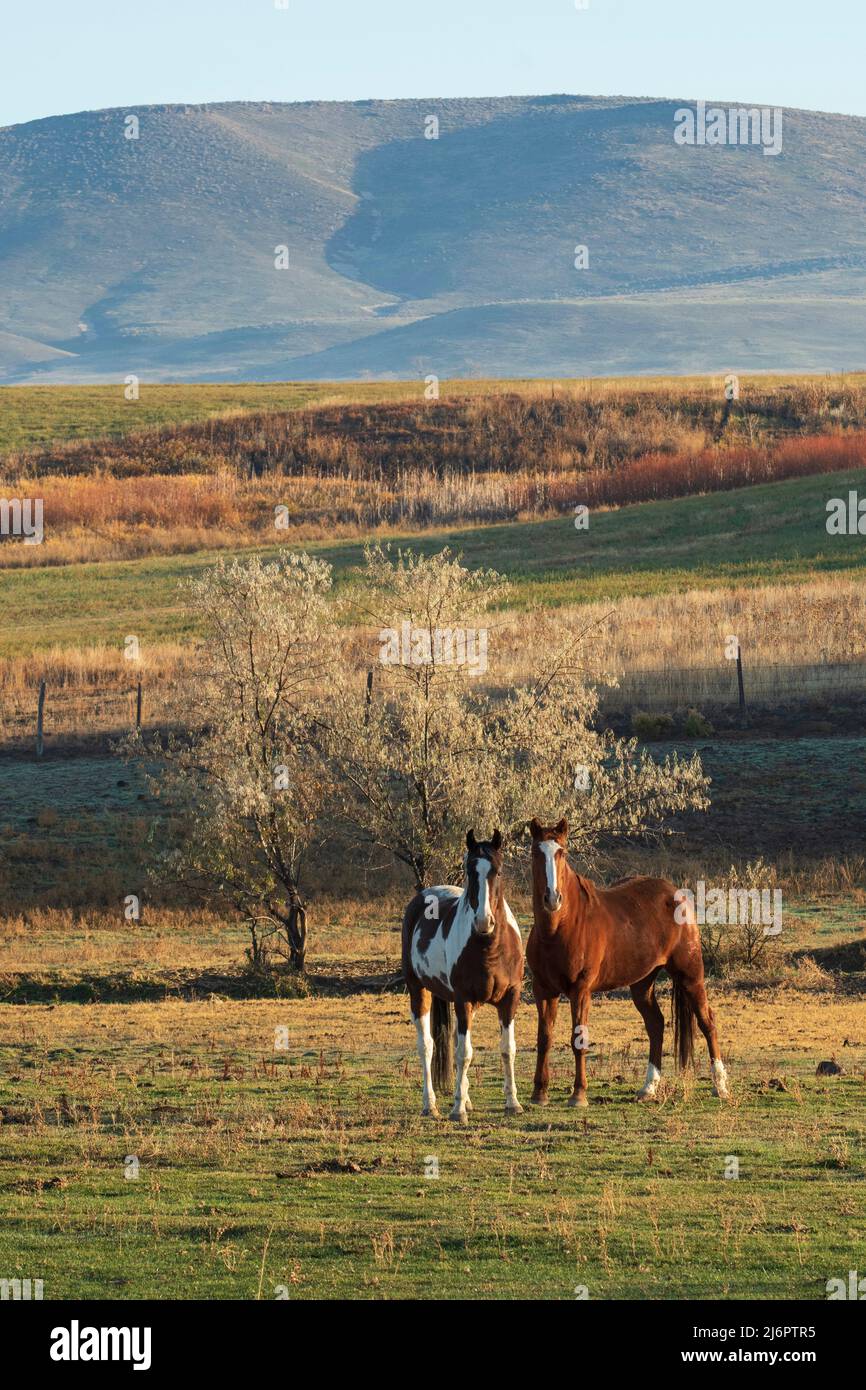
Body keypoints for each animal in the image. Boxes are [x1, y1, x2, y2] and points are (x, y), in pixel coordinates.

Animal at [403, 828, 525, 1123]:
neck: (490, 947)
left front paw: (513, 1103)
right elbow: (463, 1054)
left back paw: (467, 1099)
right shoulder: (463, 999)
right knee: (426, 1046)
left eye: (498, 871)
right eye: (470, 871)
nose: (483, 921)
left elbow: (508, 1049)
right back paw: (431, 1105)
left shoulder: (510, 998)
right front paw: (457, 1109)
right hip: (418, 990)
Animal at [525, 811, 728, 1106]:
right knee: (656, 1025)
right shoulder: (543, 990)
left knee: (707, 1022)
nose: (552, 898)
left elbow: (578, 1040)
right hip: (642, 983)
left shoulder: (580, 990)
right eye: (535, 853)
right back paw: (648, 1088)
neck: (559, 928)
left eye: (562, 852)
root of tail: (677, 894)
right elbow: (544, 1038)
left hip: (691, 976)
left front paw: (579, 1094)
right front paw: (539, 1093)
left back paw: (720, 1086)